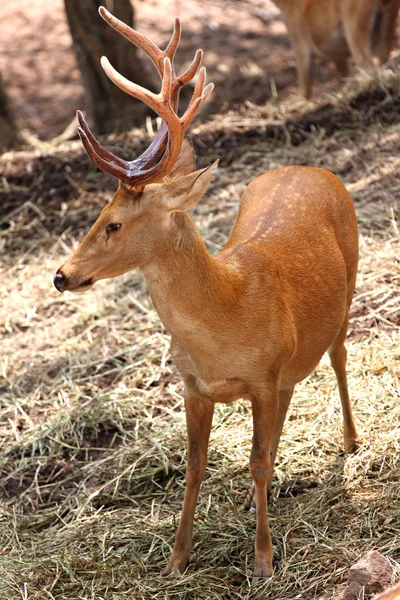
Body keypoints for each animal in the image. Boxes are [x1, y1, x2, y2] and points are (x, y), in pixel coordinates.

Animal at [54, 7, 360, 584]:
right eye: (98, 215)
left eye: (113, 223)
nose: (61, 275)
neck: (227, 314)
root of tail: (308, 166)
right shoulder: (194, 386)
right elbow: (195, 467)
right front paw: (176, 559)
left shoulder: (261, 377)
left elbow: (255, 460)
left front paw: (263, 561)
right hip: (289, 359)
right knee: (293, 392)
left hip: (348, 289)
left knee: (337, 355)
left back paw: (351, 443)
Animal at [272, 0, 400, 97]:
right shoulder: (339, 56)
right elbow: (342, 77)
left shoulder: (299, 45)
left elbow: (305, 87)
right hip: (388, 23)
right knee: (384, 65)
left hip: (355, 31)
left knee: (371, 71)